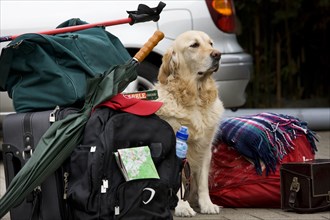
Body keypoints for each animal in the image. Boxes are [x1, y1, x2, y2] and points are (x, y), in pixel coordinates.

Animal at [155, 30, 224, 217]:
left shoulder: (205, 148)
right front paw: (182, 207)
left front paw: (207, 204)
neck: (196, 98)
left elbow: (203, 183)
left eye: (211, 43)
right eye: (194, 45)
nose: (218, 54)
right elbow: (178, 184)